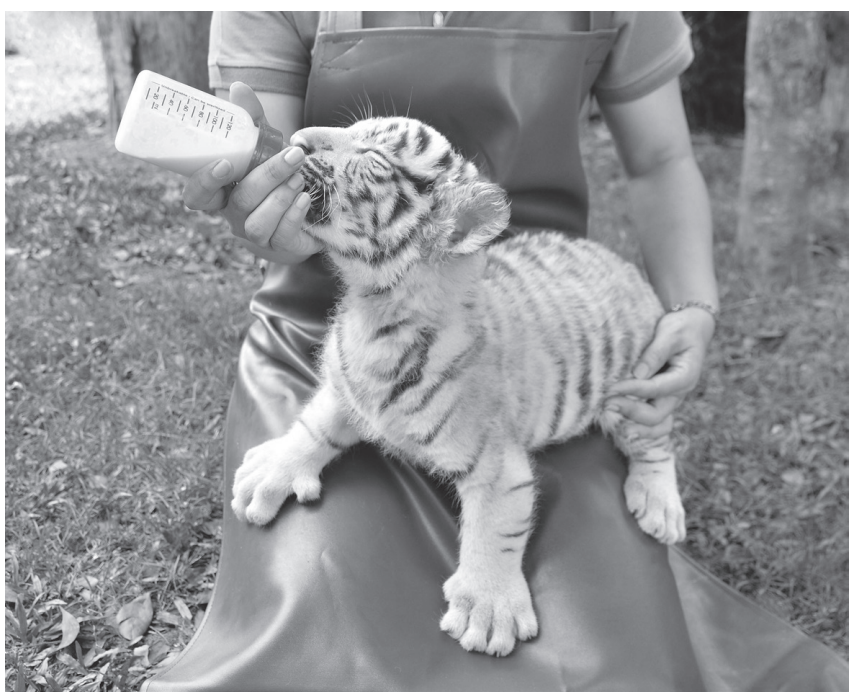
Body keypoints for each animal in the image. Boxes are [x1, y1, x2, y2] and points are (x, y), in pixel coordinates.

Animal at [231, 116, 686, 658]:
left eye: (374, 157)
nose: (297, 140)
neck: (376, 310)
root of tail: (624, 264)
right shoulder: (349, 392)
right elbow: (312, 427)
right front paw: (268, 472)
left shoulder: (498, 464)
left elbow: (496, 528)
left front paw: (487, 609)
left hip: (635, 390)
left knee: (657, 442)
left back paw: (659, 505)